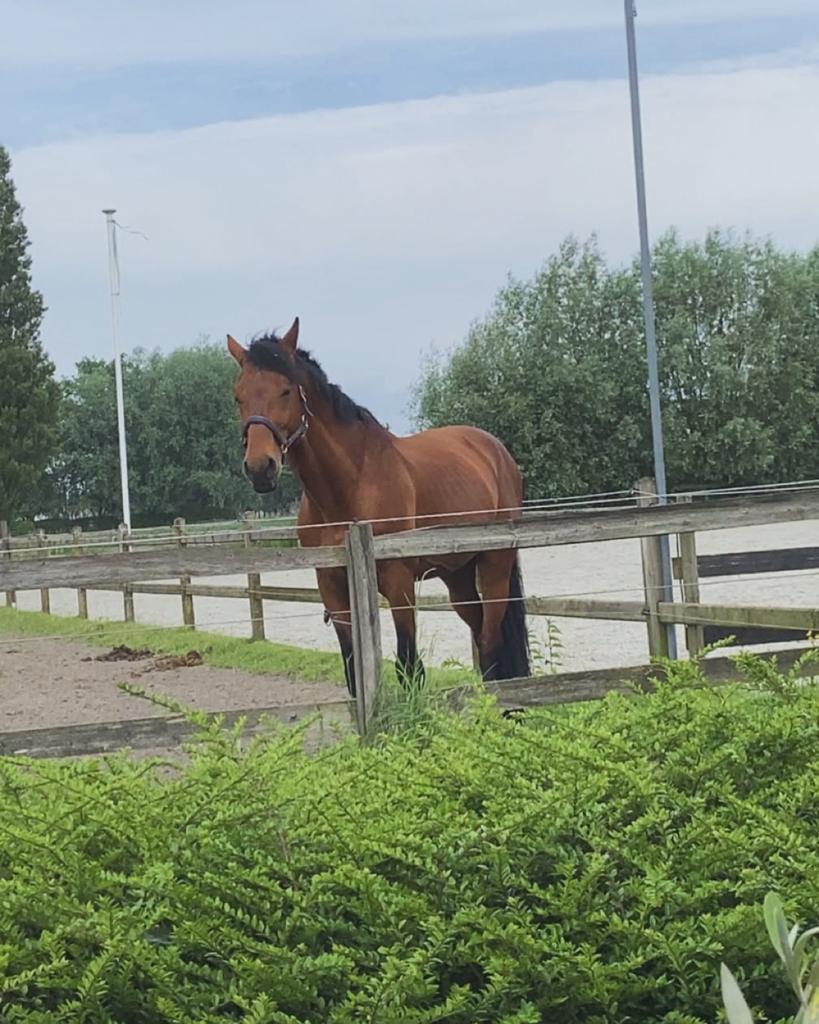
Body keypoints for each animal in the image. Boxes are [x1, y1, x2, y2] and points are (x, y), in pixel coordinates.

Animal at [227, 317, 529, 696]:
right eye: (238, 395)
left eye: (285, 390)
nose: (259, 468)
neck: (348, 488)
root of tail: (496, 451)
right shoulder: (332, 589)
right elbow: (353, 672)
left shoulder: (399, 583)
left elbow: (409, 667)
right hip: (457, 575)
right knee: (481, 634)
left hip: (494, 566)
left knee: (490, 641)